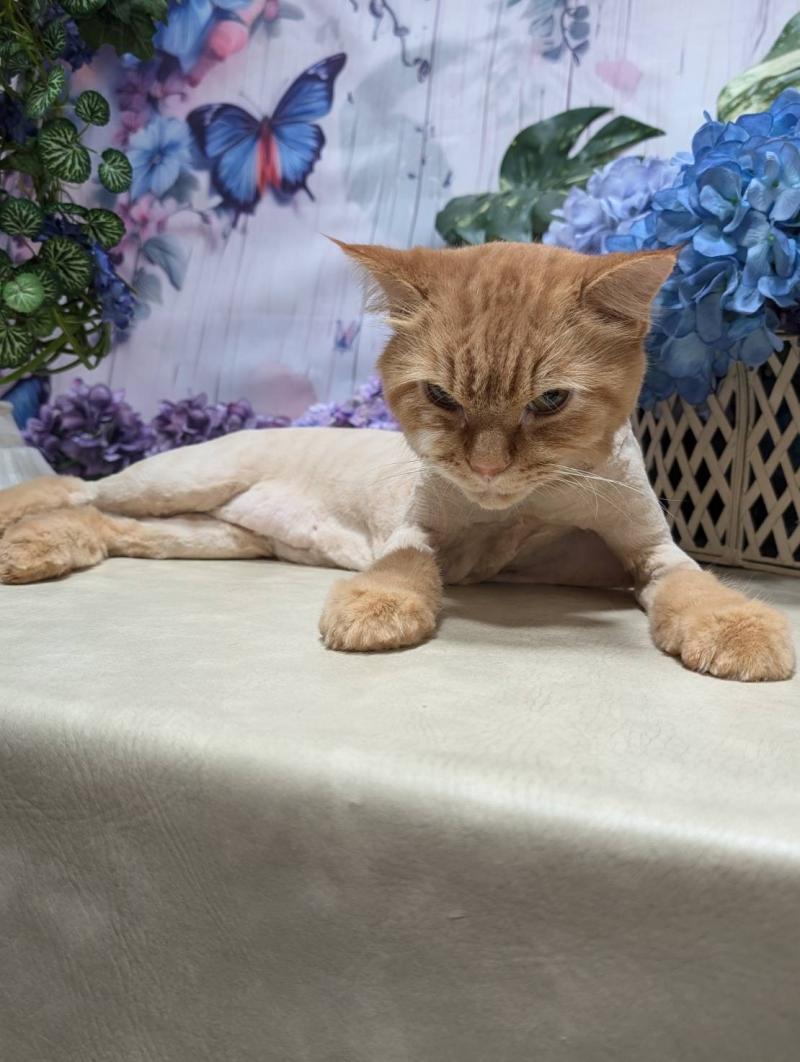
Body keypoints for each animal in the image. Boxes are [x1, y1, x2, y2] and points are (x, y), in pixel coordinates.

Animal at [0, 240, 794, 681]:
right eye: (440, 396)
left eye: (549, 401)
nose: (487, 469)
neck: (528, 505)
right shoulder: (415, 529)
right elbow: (405, 567)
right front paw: (376, 608)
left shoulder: (648, 553)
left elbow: (697, 588)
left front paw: (739, 630)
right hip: (177, 483)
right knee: (76, 486)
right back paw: (23, 530)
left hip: (208, 535)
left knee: (99, 525)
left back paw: (34, 551)